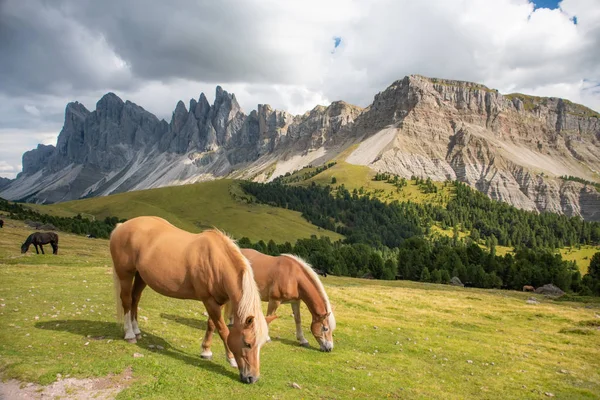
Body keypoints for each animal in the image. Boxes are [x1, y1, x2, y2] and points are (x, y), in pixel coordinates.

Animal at [110, 217, 270, 382]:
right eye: (248, 343)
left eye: (262, 344)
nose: (252, 378)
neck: (217, 261)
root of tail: (122, 226)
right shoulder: (208, 301)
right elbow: (223, 330)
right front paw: (231, 358)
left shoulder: (218, 301)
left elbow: (212, 324)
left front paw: (206, 351)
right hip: (125, 274)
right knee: (127, 301)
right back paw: (130, 334)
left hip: (141, 276)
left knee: (135, 299)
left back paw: (136, 331)